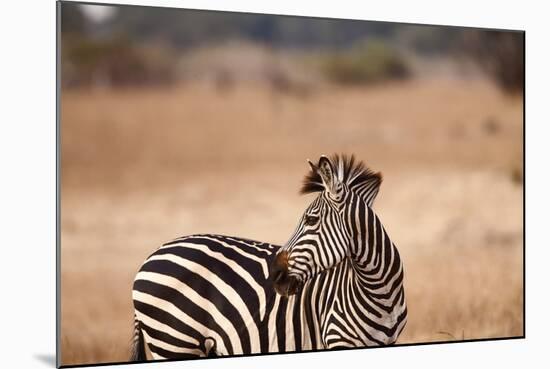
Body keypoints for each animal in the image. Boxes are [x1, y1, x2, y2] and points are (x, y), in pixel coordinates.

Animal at [128, 152, 406, 360]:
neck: (381, 293)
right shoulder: (337, 339)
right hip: (173, 341)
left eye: (310, 220)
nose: (275, 274)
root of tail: (150, 257)